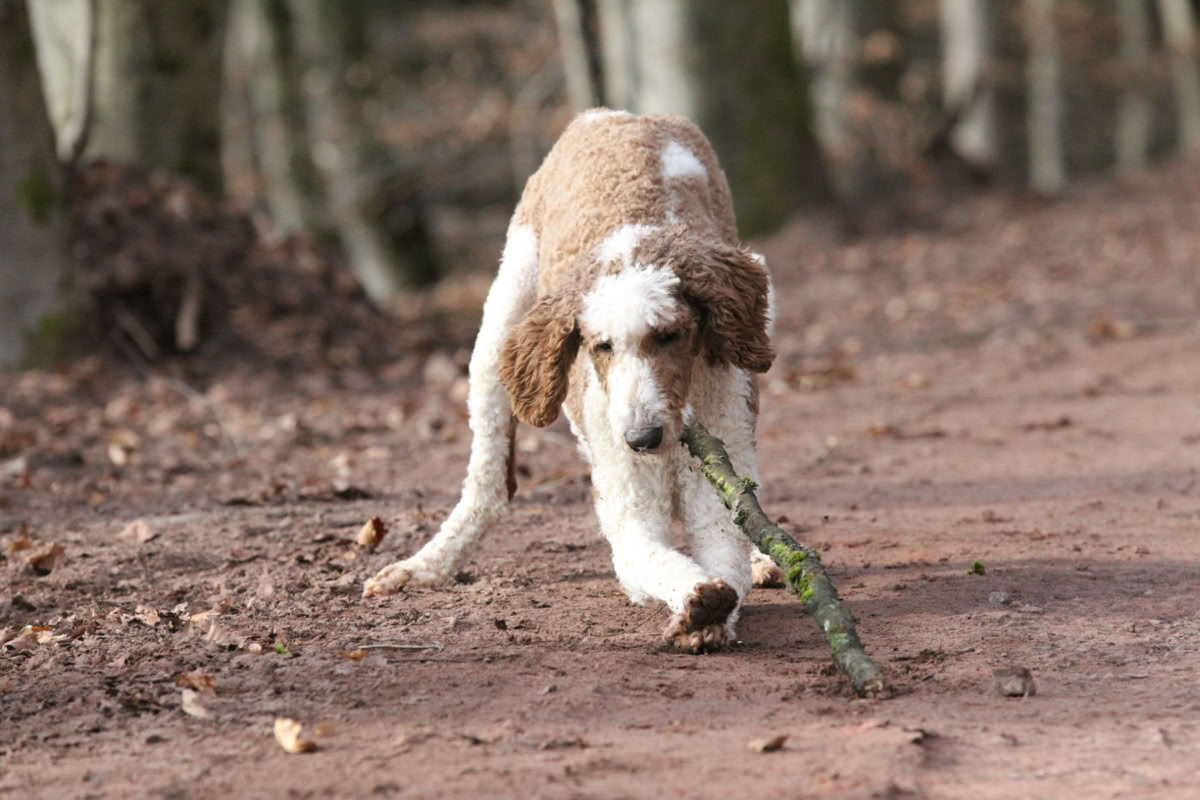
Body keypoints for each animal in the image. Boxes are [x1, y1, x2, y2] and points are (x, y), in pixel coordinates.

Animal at [365, 109, 781, 652]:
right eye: (601, 346)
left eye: (669, 335)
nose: (641, 439)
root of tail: (614, 115)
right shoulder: (628, 507)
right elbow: (648, 557)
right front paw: (697, 603)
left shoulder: (716, 479)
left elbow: (726, 555)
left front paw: (713, 610)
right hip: (500, 331)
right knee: (489, 485)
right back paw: (427, 564)